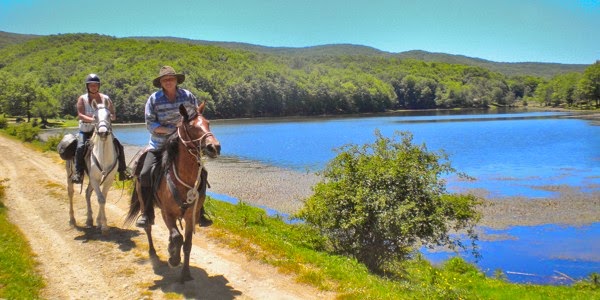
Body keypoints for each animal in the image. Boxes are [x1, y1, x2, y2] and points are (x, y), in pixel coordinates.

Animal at [65, 103, 117, 234]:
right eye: (95, 116)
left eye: (109, 115)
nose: (103, 132)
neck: (103, 156)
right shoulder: (94, 179)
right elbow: (101, 199)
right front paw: (104, 226)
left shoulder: (108, 180)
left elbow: (103, 198)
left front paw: (99, 222)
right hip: (69, 174)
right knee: (70, 192)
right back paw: (72, 220)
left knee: (87, 193)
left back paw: (89, 220)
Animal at [126, 102, 220, 282]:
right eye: (191, 126)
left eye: (208, 123)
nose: (214, 147)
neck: (185, 179)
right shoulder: (166, 213)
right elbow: (177, 237)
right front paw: (173, 259)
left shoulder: (191, 216)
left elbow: (187, 244)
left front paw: (186, 273)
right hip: (145, 203)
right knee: (148, 227)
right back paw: (153, 253)